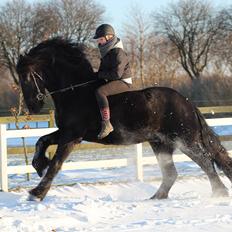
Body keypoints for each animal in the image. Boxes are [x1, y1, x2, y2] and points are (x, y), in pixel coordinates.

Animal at [16, 38, 232, 201]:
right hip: (161, 144)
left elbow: (56, 164)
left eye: (26, 76)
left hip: (186, 140)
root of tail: (188, 104)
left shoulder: (72, 136)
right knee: (172, 173)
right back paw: (156, 198)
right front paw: (38, 164)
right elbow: (41, 140)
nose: (33, 107)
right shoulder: (66, 132)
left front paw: (36, 193)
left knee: (206, 162)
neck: (74, 91)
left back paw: (219, 194)